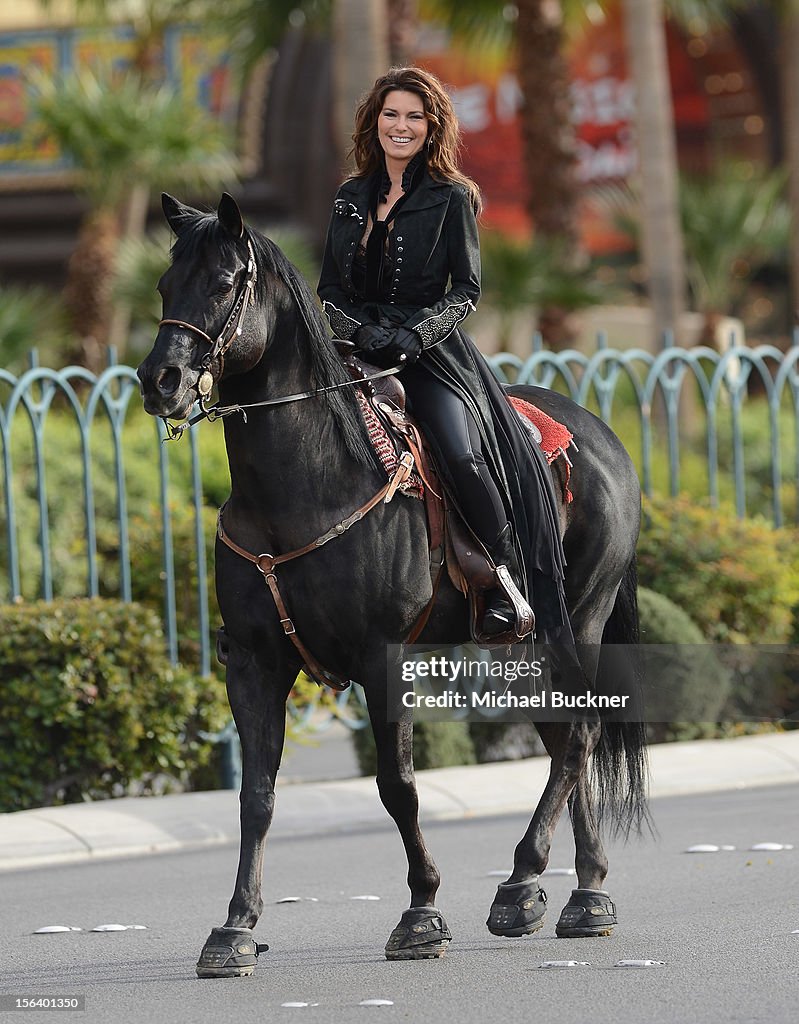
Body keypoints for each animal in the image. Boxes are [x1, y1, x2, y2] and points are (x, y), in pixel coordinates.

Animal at [137, 192, 647, 974]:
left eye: (223, 285)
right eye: (165, 286)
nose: (159, 381)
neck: (304, 484)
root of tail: (600, 432)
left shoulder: (384, 659)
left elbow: (397, 787)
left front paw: (421, 912)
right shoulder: (254, 663)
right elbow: (257, 795)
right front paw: (235, 927)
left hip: (576, 622)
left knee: (581, 733)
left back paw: (525, 882)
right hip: (527, 646)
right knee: (566, 737)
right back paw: (577, 893)